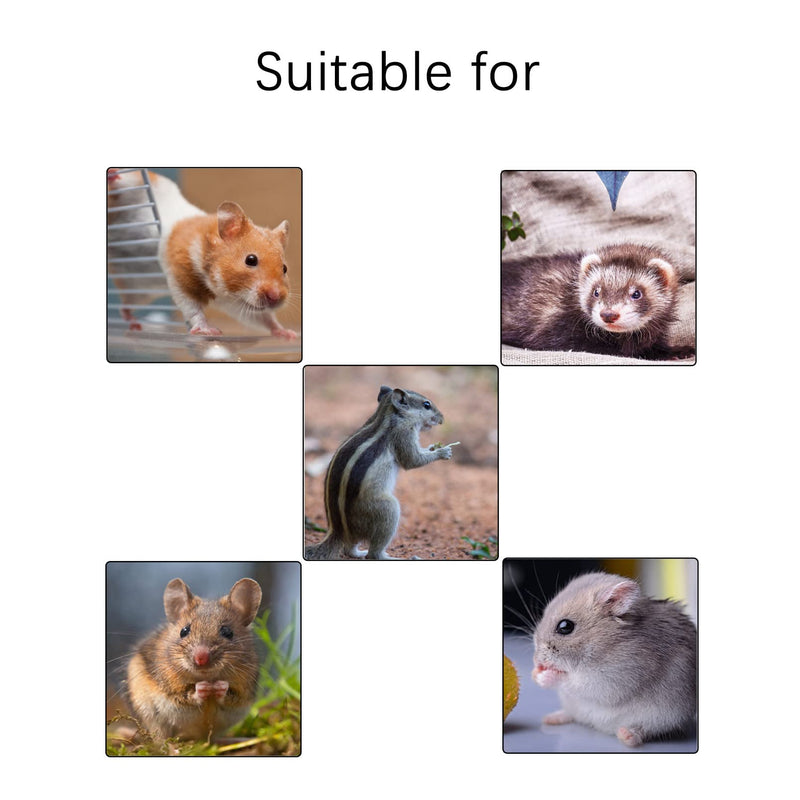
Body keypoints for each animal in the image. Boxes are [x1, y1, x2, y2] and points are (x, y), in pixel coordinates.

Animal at [107, 169, 297, 338]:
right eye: (250, 260)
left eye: (285, 268)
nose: (276, 297)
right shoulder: (180, 276)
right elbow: (193, 309)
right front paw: (210, 331)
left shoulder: (235, 304)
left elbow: (264, 318)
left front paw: (288, 334)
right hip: (136, 184)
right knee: (121, 183)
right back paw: (113, 175)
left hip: (140, 291)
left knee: (124, 307)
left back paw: (134, 324)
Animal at [126, 578, 262, 741]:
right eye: (184, 631)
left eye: (227, 632)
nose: (201, 658)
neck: (207, 677)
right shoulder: (172, 690)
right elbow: (187, 695)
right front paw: (202, 688)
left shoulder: (243, 693)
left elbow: (229, 695)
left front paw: (220, 686)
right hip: (149, 713)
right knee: (159, 739)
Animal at [305, 385, 456, 560]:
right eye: (426, 405)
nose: (442, 419)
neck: (387, 415)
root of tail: (338, 532)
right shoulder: (403, 435)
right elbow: (412, 460)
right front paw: (443, 452)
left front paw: (433, 447)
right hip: (386, 510)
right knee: (374, 554)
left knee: (349, 550)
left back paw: (359, 552)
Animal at [532, 572, 697, 747]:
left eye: (565, 626)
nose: (535, 660)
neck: (602, 644)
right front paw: (535, 674)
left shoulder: (614, 677)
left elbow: (574, 681)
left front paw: (545, 675)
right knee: (572, 715)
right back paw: (551, 718)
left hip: (663, 718)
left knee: (645, 730)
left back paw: (626, 735)